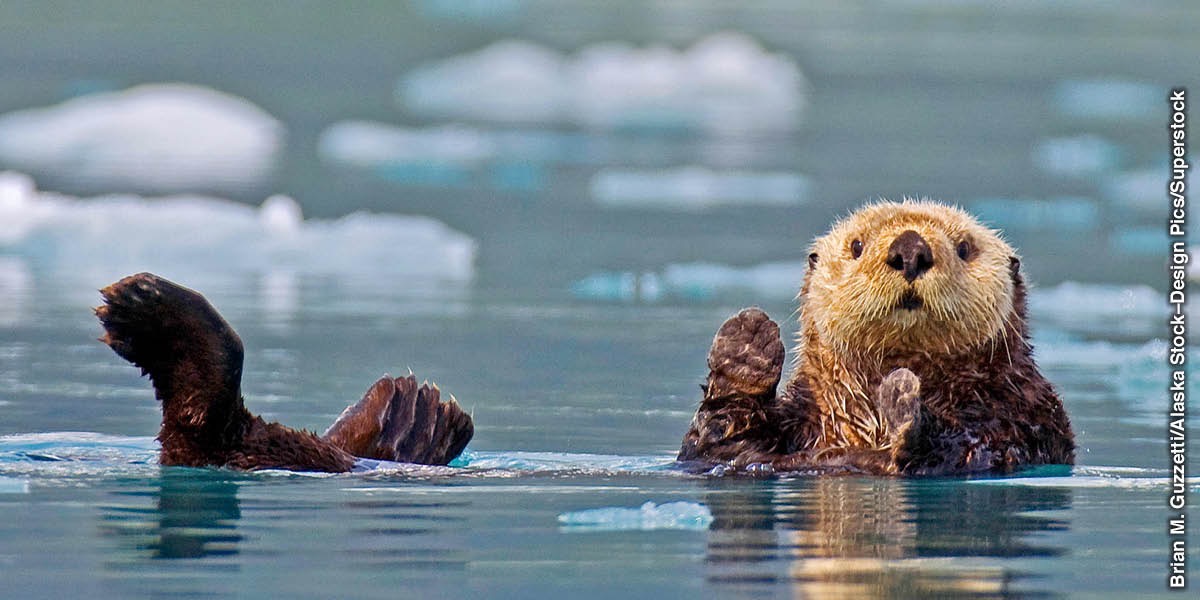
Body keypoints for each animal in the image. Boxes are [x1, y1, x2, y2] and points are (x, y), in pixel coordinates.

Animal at [678, 200, 1075, 475]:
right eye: (856, 246)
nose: (911, 249)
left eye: (964, 248)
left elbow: (969, 449)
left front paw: (903, 400)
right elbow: (713, 447)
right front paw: (746, 345)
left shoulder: (1022, 416)